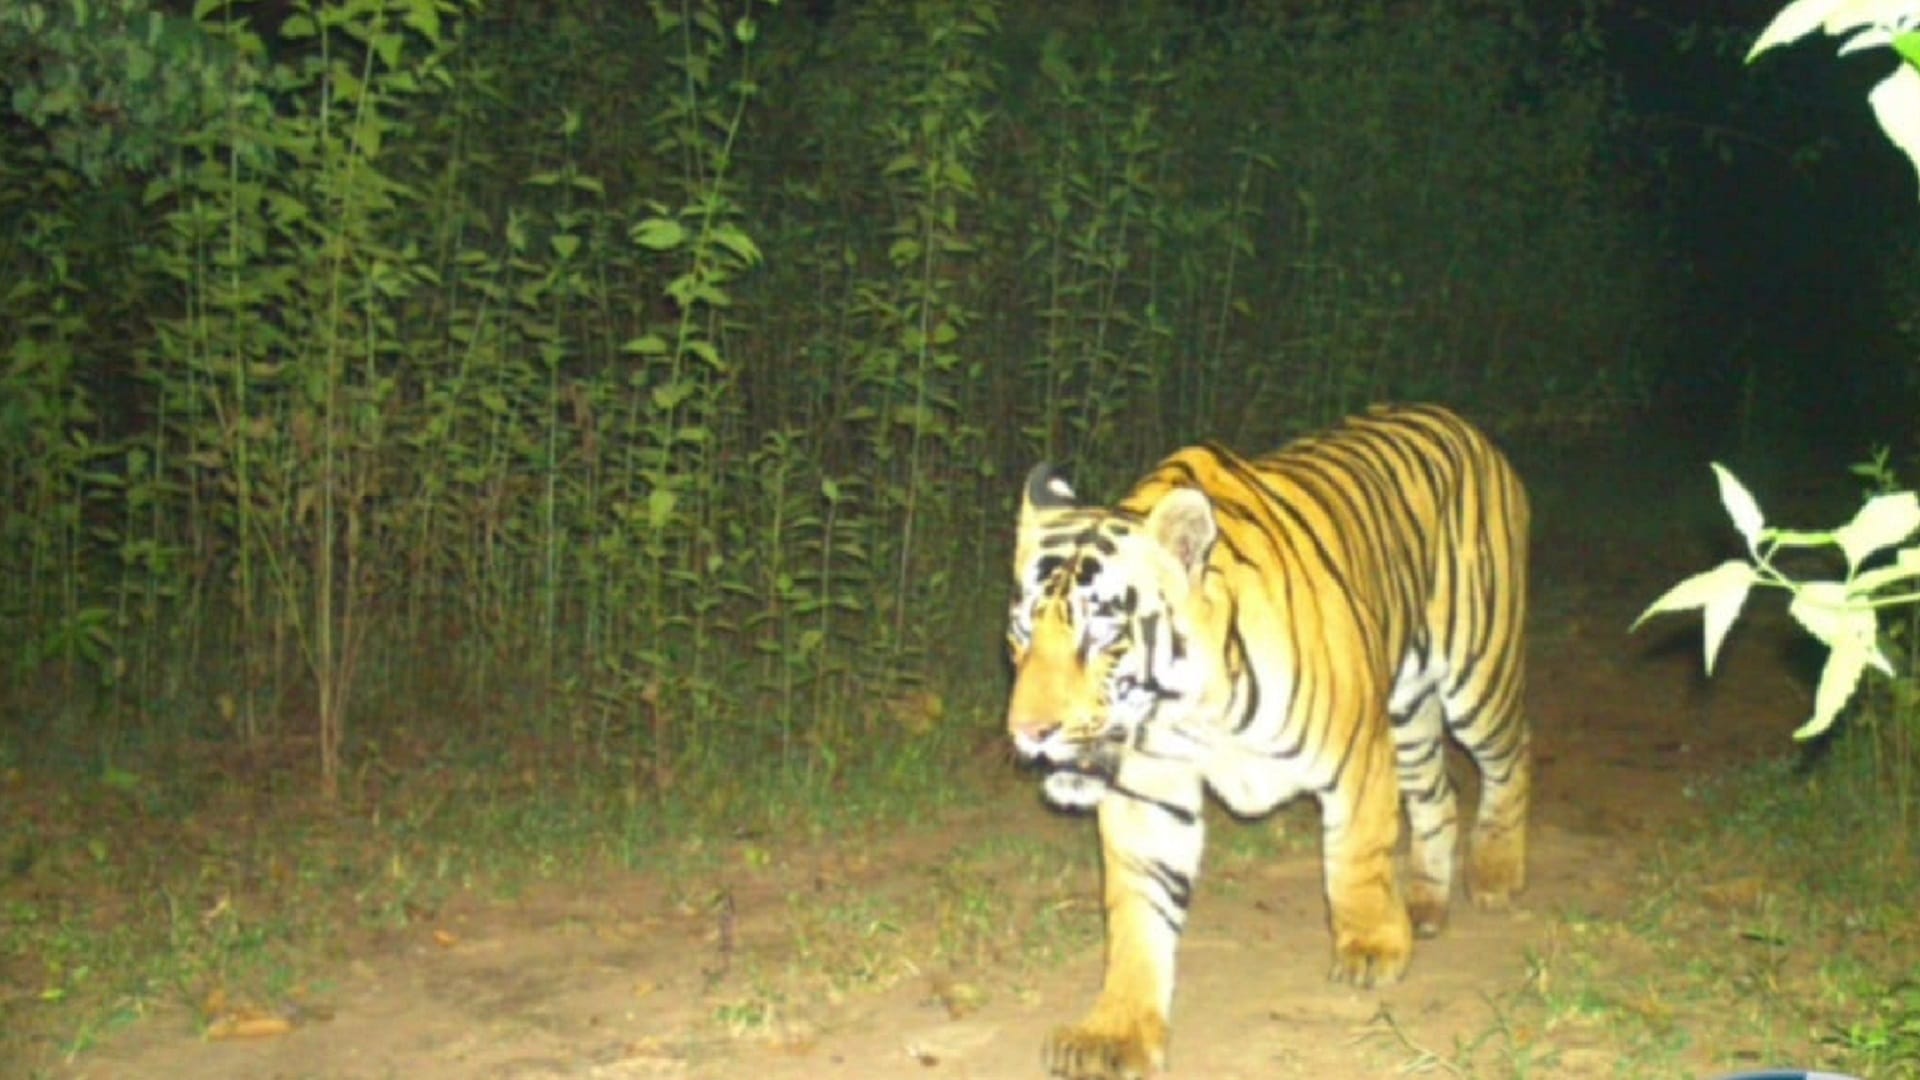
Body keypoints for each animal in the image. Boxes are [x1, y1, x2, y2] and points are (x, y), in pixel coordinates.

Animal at [1004, 403, 1530, 1079]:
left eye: (1100, 638)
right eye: (1021, 633)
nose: (1027, 732)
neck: (1191, 711)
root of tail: (1462, 424)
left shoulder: (1357, 755)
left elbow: (1354, 858)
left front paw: (1370, 947)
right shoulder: (1149, 794)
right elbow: (1139, 913)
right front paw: (1116, 1031)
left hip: (1477, 673)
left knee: (1511, 756)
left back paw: (1494, 875)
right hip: (1410, 708)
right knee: (1438, 798)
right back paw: (1422, 907)